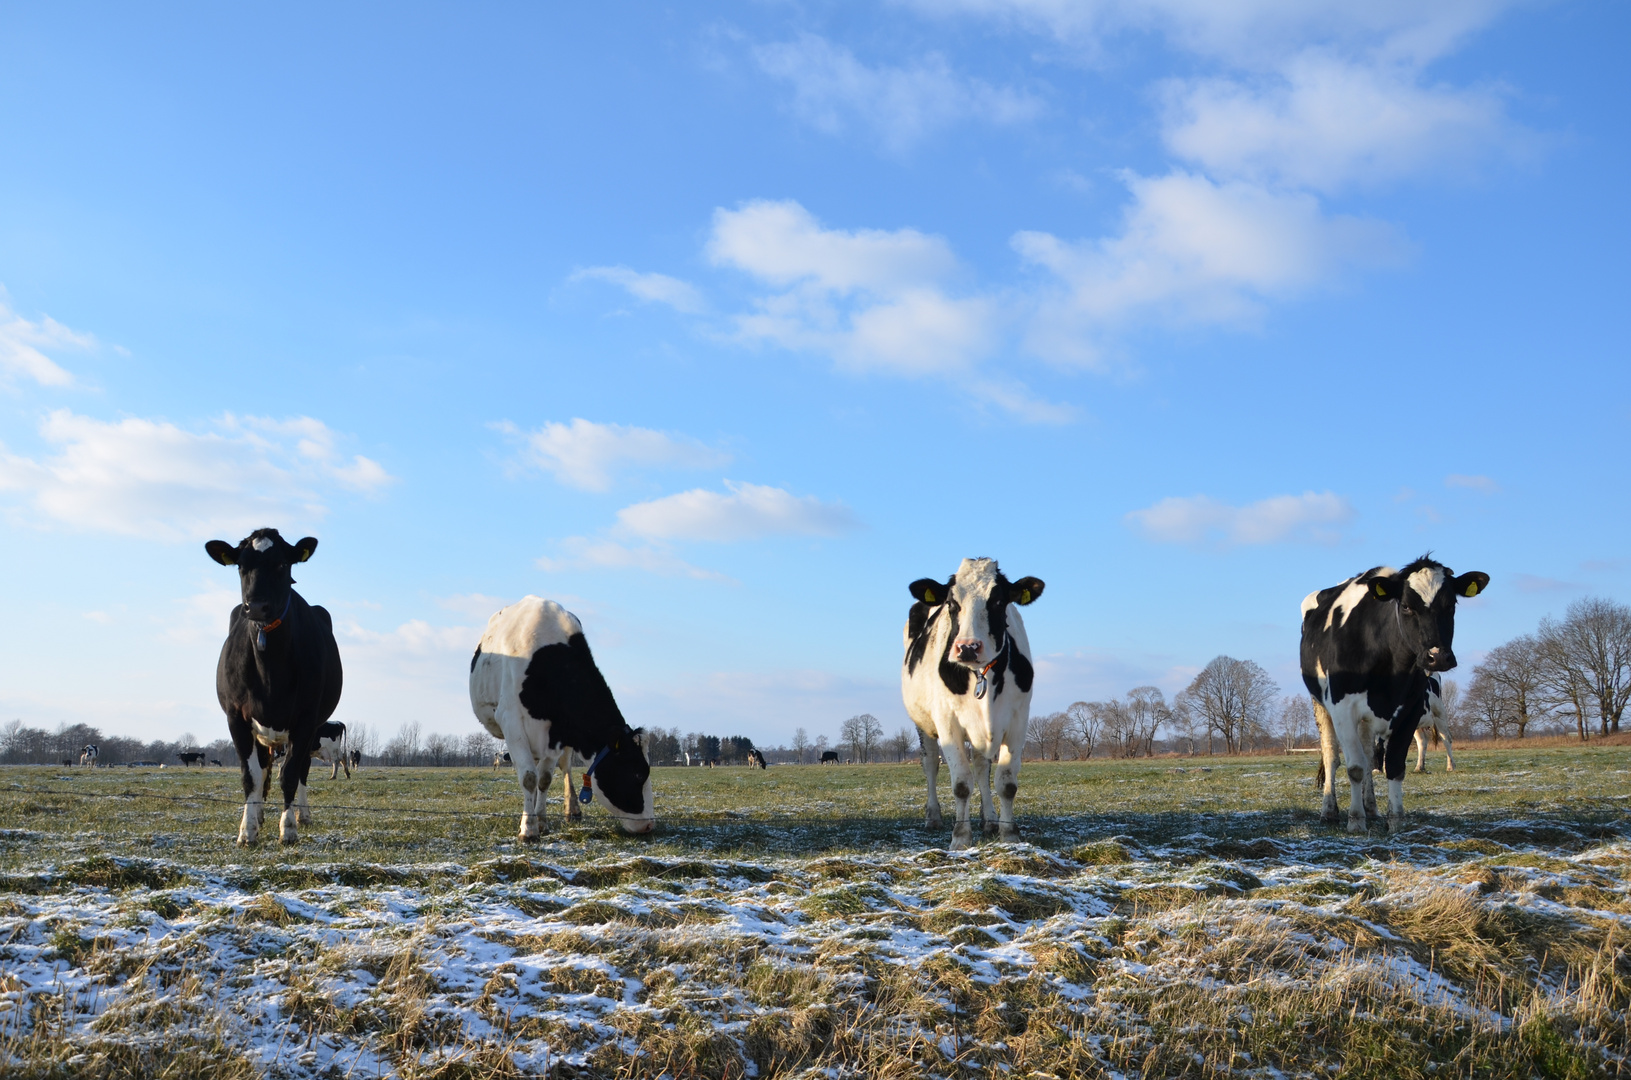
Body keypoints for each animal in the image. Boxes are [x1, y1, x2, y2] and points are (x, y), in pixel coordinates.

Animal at [205, 528, 342, 848]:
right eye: (241, 566)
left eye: (282, 564)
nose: (256, 606)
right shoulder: (236, 717)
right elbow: (251, 776)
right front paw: (247, 831)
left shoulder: (306, 719)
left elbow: (289, 774)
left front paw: (288, 828)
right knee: (264, 767)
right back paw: (257, 815)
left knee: (299, 769)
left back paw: (302, 815)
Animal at [469, 597, 652, 841]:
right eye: (638, 773)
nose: (649, 825)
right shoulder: (511, 720)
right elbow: (528, 777)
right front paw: (528, 829)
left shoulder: (558, 732)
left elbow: (544, 778)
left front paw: (542, 823)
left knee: (564, 768)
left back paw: (571, 809)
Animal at [906, 561, 1043, 848]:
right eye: (951, 603)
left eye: (999, 601)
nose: (968, 647)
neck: (982, 676)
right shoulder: (947, 723)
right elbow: (961, 785)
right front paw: (960, 837)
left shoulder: (1018, 721)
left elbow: (1006, 784)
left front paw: (1008, 833)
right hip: (923, 723)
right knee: (930, 763)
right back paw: (933, 816)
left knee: (981, 767)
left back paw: (989, 819)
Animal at [1298, 557, 1493, 835]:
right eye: (1406, 606)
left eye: (1451, 604)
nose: (1438, 657)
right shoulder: (1342, 708)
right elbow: (1354, 767)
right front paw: (1355, 820)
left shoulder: (1410, 709)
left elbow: (1394, 766)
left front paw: (1396, 819)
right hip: (1320, 705)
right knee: (1331, 757)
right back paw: (1330, 811)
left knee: (1370, 755)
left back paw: (1371, 807)